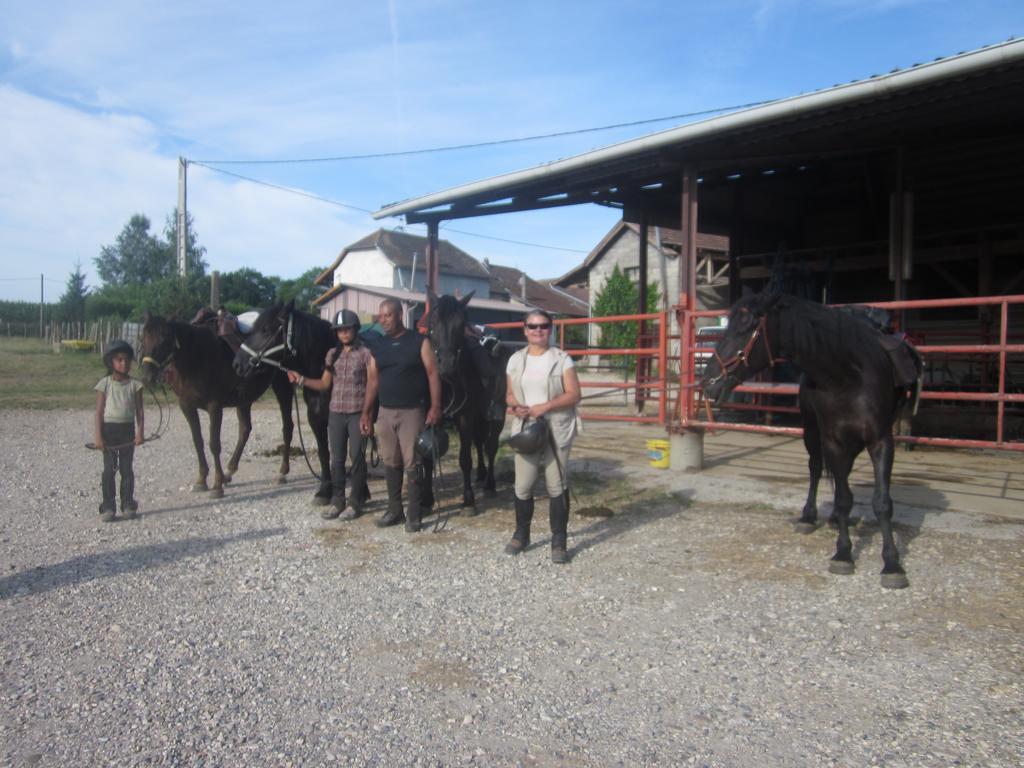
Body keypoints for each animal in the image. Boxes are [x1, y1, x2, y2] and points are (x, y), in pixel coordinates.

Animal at [139, 313, 296, 499]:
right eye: (143, 337)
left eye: (164, 339)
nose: (147, 377)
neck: (196, 357)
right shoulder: (187, 406)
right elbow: (197, 441)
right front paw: (202, 480)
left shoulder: (214, 407)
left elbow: (214, 444)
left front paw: (216, 485)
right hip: (244, 400)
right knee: (245, 430)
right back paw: (229, 471)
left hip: (283, 387)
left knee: (287, 428)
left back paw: (281, 473)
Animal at [421, 288, 509, 512]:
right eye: (432, 323)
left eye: (461, 325)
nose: (447, 365)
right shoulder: (428, 417)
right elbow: (428, 458)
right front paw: (426, 500)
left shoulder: (465, 418)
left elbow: (465, 459)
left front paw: (468, 499)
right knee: (479, 442)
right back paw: (481, 475)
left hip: (496, 416)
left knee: (490, 445)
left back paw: (489, 484)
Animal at [700, 290, 925, 593]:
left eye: (746, 327)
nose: (708, 382)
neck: (847, 374)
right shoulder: (832, 439)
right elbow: (842, 497)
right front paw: (843, 553)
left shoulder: (881, 440)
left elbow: (882, 503)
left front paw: (892, 564)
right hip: (811, 429)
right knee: (816, 468)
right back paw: (809, 517)